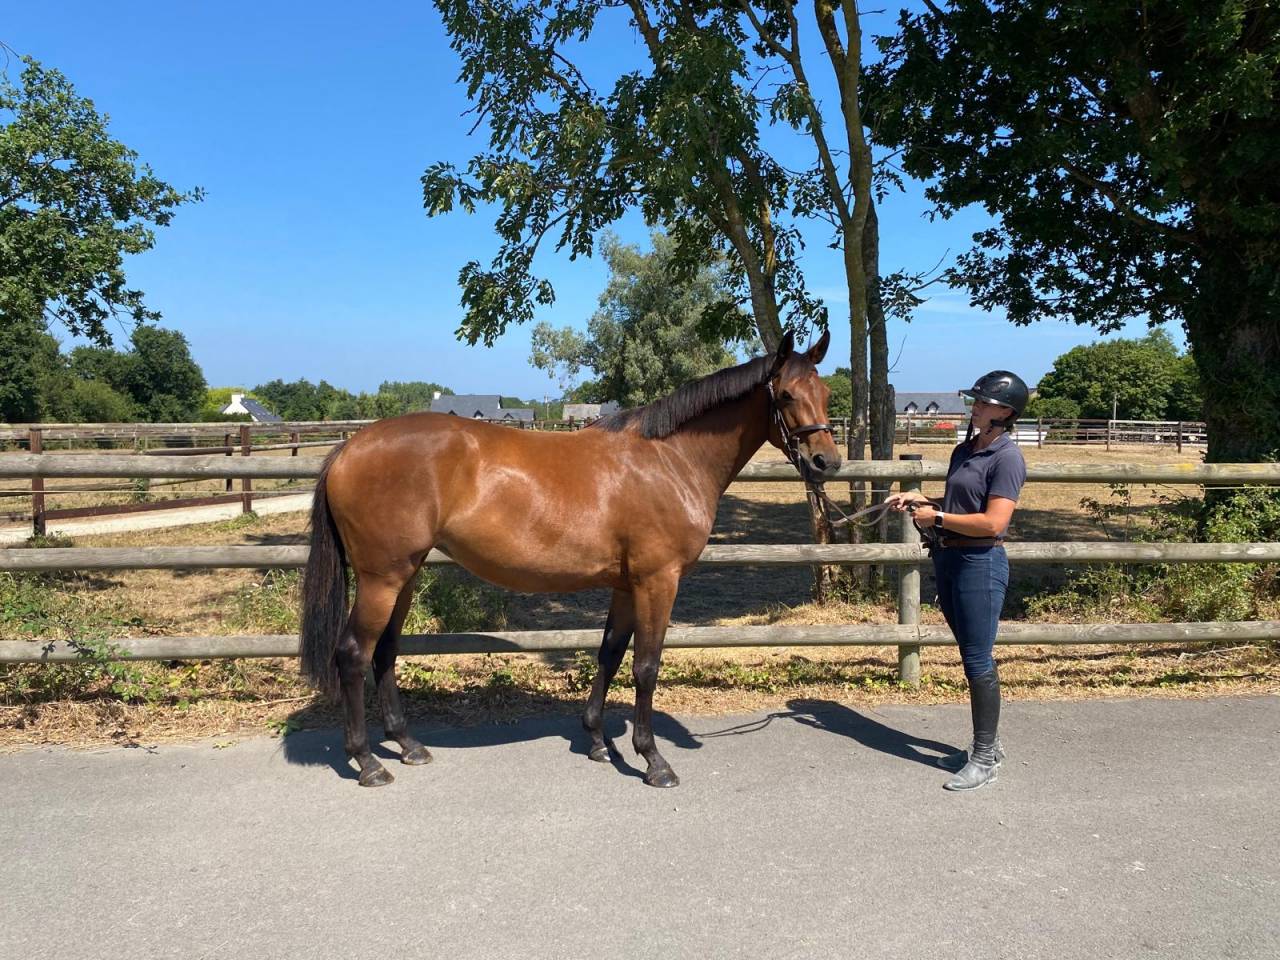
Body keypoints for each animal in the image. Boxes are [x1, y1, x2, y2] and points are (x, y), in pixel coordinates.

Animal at [299, 330, 840, 787]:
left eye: (825, 394)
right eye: (786, 395)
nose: (826, 463)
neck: (669, 461)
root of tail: (349, 448)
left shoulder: (626, 585)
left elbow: (610, 653)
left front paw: (598, 740)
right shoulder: (657, 581)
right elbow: (646, 665)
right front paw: (653, 759)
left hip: (404, 577)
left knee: (385, 652)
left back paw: (408, 745)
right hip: (381, 579)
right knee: (354, 653)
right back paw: (368, 762)